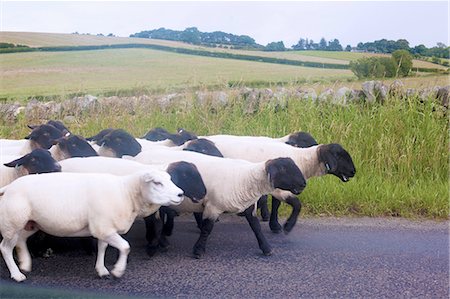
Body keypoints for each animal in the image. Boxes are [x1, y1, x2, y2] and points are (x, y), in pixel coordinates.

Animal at [0, 170, 185, 282]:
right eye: (157, 183)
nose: (180, 194)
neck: (126, 193)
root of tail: (9, 187)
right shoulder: (104, 227)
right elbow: (125, 247)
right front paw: (118, 271)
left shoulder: (104, 226)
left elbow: (103, 247)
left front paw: (102, 270)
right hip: (12, 222)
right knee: (5, 248)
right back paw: (16, 274)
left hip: (29, 223)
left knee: (20, 241)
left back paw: (25, 264)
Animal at [126, 150, 306, 260]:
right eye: (284, 169)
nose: (304, 184)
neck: (245, 178)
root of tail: (137, 156)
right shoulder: (213, 207)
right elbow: (207, 229)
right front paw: (198, 250)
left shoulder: (249, 208)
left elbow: (256, 228)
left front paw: (266, 248)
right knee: (153, 219)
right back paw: (157, 242)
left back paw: (162, 240)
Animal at [198, 138, 356, 234]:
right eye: (338, 155)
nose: (353, 171)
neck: (302, 161)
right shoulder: (280, 188)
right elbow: (296, 204)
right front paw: (287, 226)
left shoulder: (279, 186)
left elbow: (276, 205)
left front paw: (275, 225)